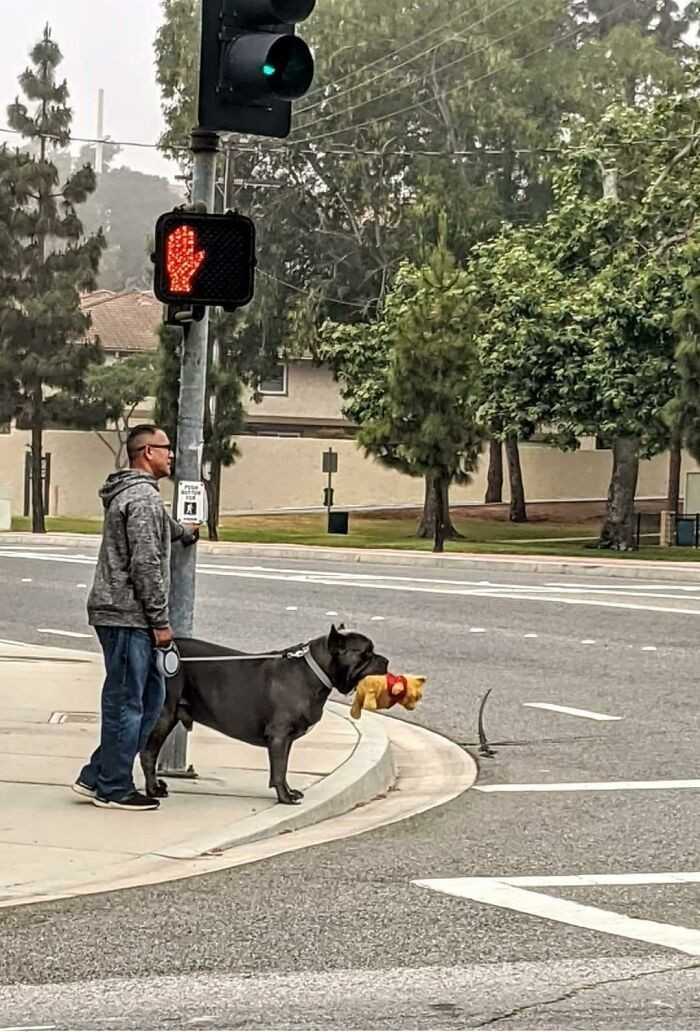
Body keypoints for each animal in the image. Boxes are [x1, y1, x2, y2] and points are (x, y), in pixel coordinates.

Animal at [141, 623, 390, 800]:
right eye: (366, 653)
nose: (386, 660)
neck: (314, 670)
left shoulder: (285, 740)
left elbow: (284, 766)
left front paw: (289, 791)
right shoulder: (279, 736)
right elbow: (278, 769)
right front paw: (285, 797)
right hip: (164, 715)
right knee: (148, 754)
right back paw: (153, 790)